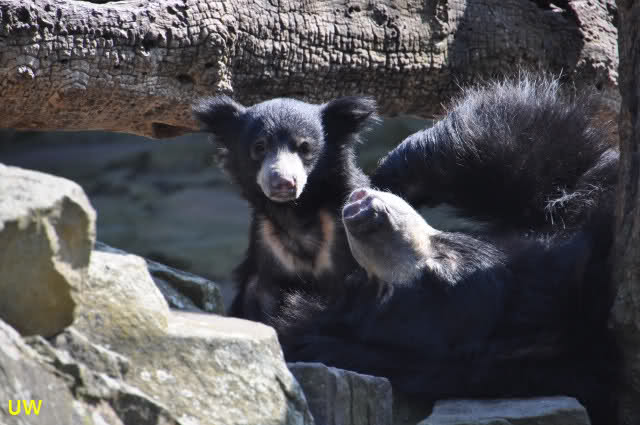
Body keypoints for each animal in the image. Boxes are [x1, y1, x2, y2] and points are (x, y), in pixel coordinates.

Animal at [192, 95, 378, 321]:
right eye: (260, 147)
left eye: (305, 148)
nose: (283, 182)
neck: (295, 211)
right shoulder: (268, 243)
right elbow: (259, 295)